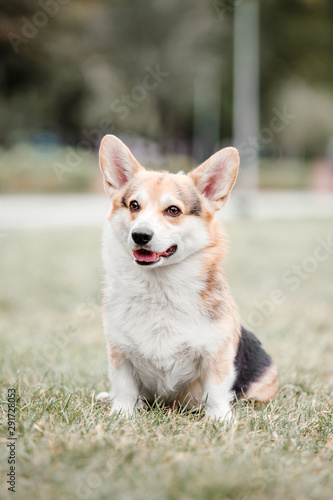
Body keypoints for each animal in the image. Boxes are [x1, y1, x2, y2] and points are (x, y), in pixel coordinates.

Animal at [96, 135, 278, 420]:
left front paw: (220, 419)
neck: (159, 287)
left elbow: (216, 390)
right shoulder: (120, 353)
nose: (140, 235)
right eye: (134, 205)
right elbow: (124, 387)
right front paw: (122, 414)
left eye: (173, 210)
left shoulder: (216, 356)